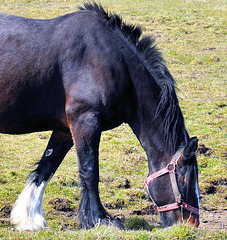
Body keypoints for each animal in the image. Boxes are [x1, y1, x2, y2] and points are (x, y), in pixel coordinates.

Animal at [0, 2, 200, 231]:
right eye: (186, 179)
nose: (191, 224)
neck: (114, 62)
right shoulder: (85, 122)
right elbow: (90, 172)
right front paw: (99, 218)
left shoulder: (65, 130)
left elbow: (47, 166)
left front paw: (29, 218)